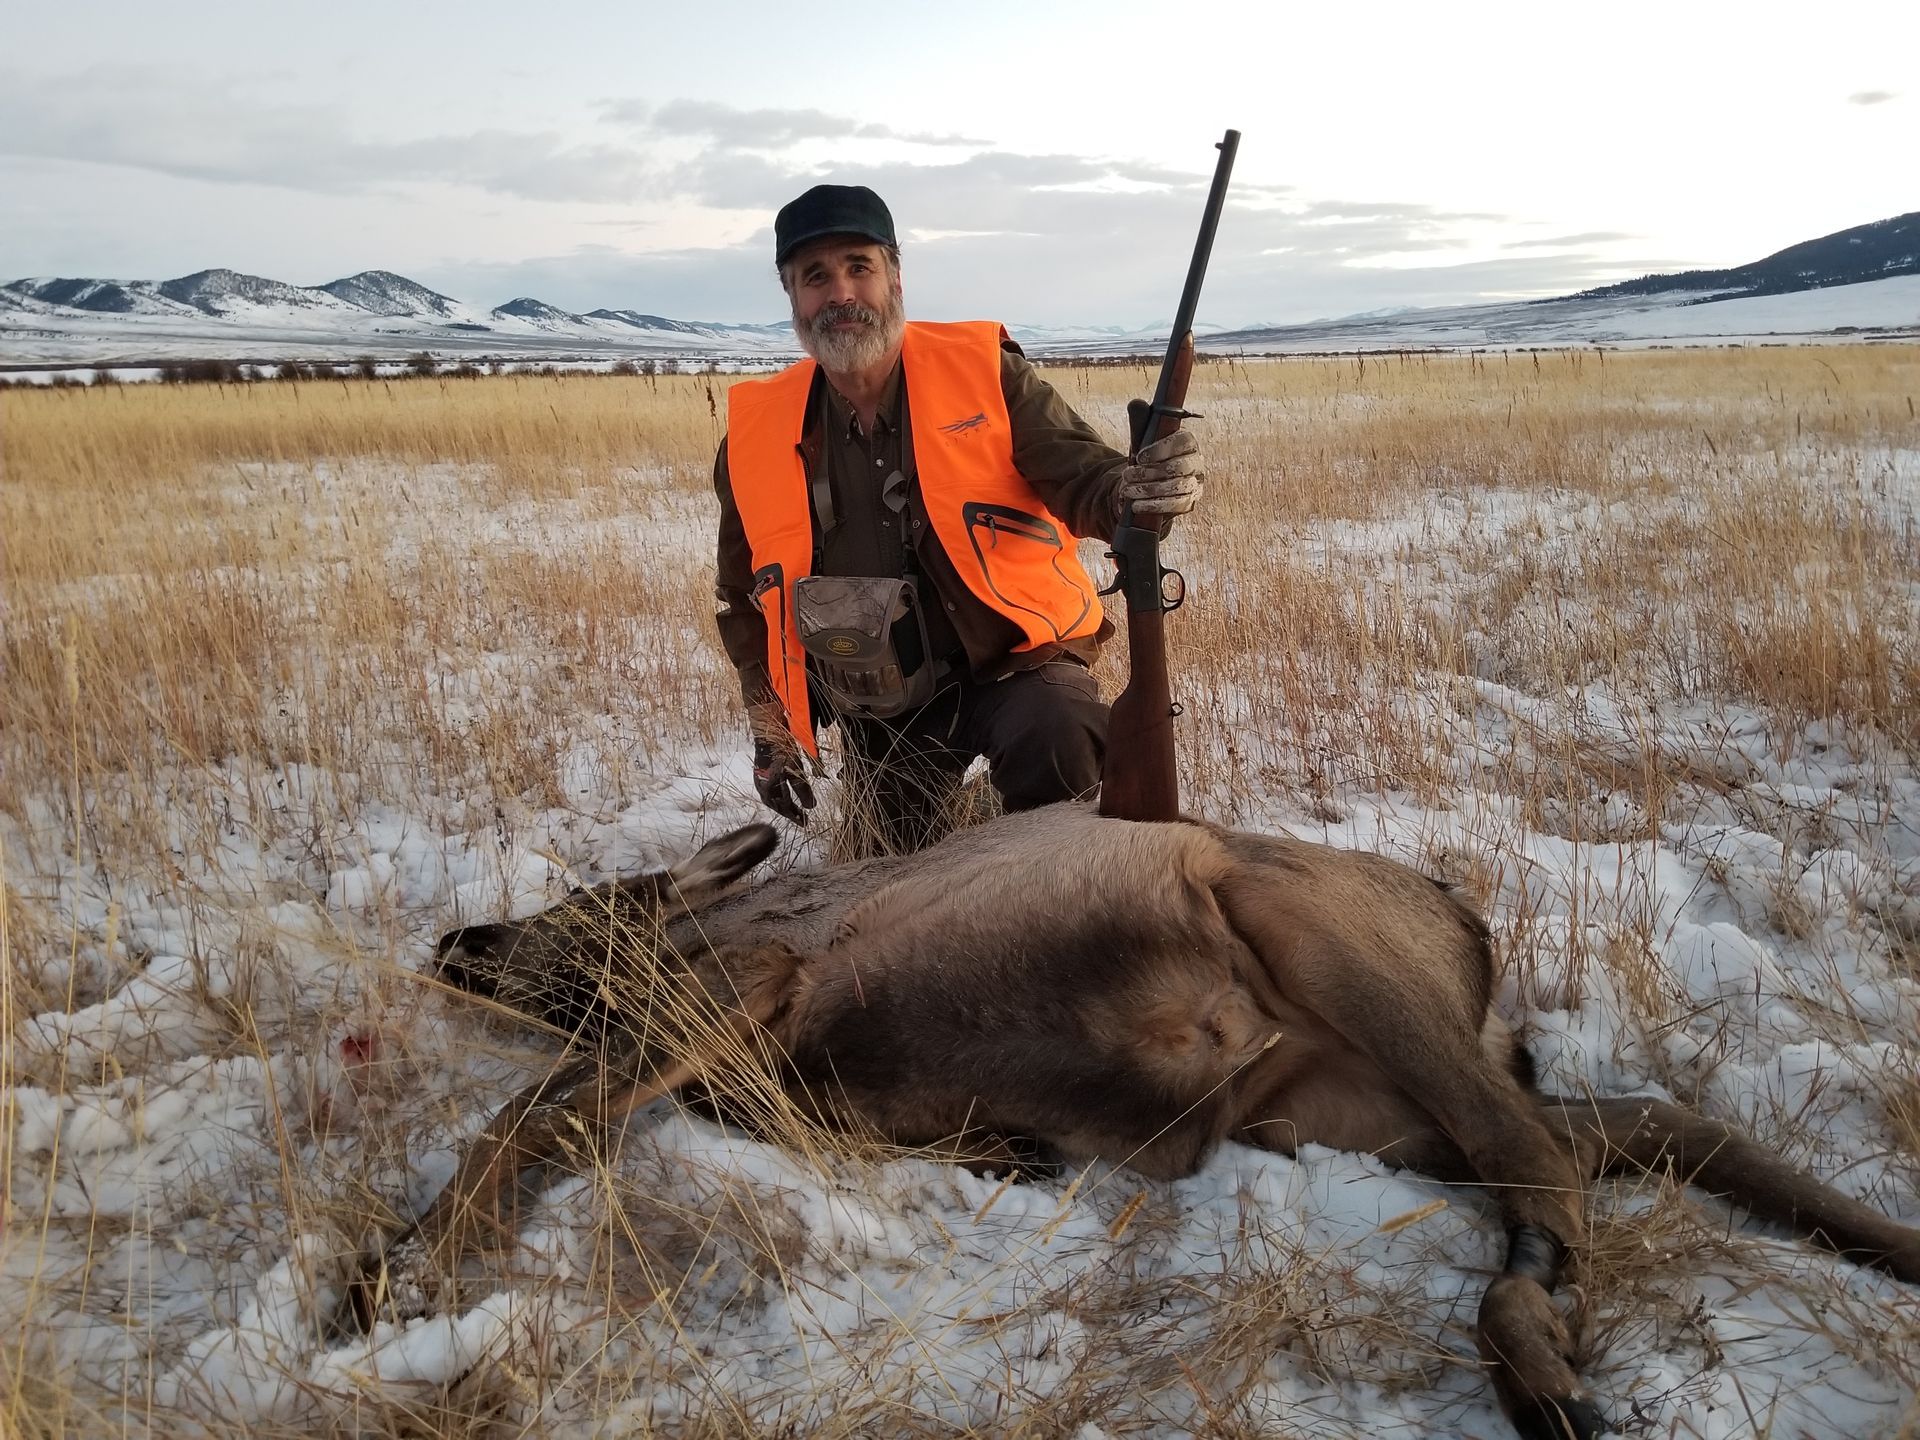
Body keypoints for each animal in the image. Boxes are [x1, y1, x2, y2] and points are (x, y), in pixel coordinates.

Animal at [352, 804, 1920, 1440]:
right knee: (1620, 1130)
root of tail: (1467, 930)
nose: (456, 941)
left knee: (1543, 1154)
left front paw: (394, 1281)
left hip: (1304, 929)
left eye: (582, 907)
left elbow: (525, 1119)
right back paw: (1870, 1247)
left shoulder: (739, 989)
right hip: (1345, 1108)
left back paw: (1551, 1379)